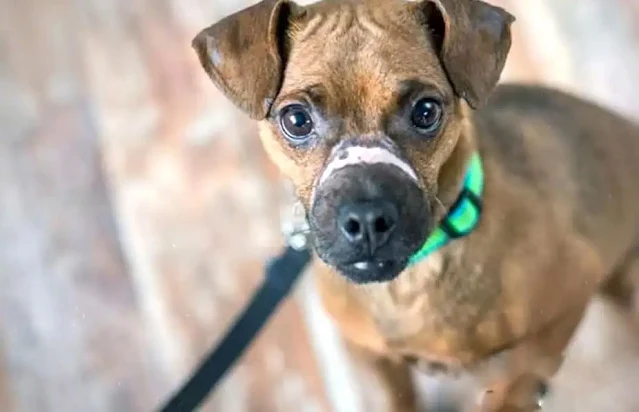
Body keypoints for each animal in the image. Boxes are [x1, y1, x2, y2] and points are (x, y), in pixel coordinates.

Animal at [192, 0, 639, 410]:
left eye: (426, 111)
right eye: (296, 120)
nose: (367, 219)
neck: (409, 285)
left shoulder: (566, 305)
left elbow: (513, 385)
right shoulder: (373, 356)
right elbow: (398, 397)